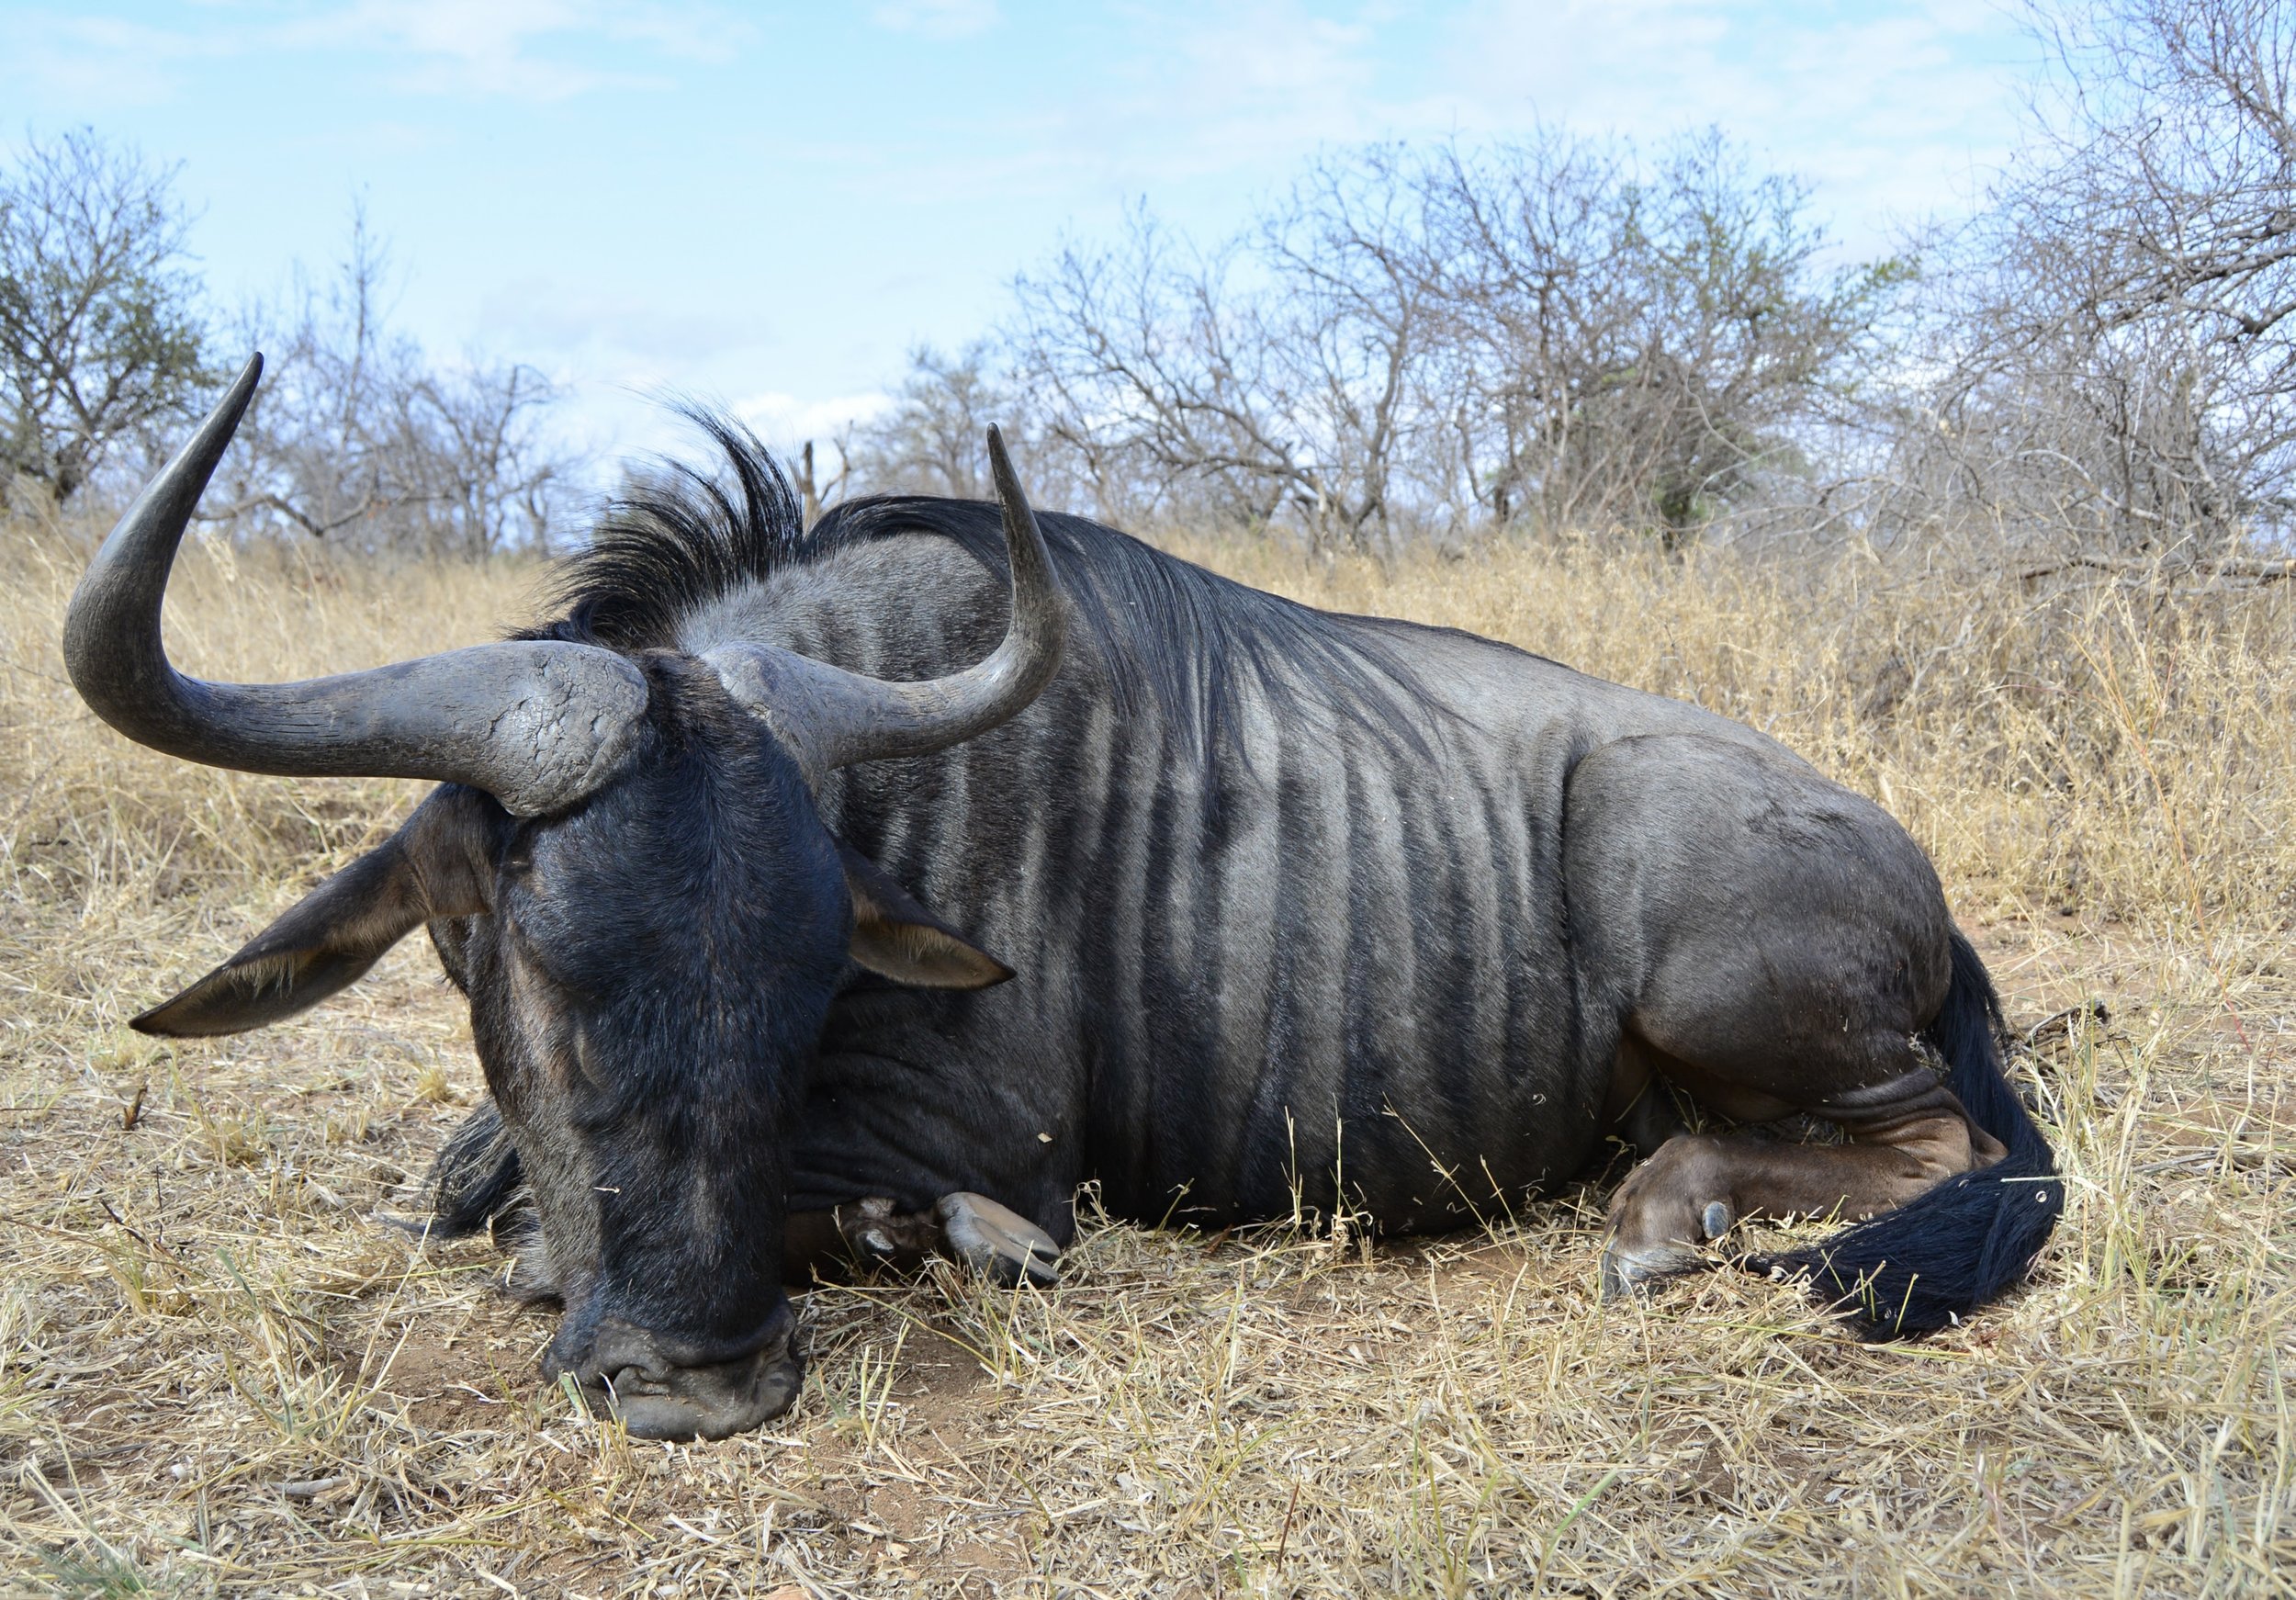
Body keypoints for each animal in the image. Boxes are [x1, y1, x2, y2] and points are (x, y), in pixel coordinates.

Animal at [65, 358, 2060, 1441]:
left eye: (805, 975)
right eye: (522, 960)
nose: (699, 1382)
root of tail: (1909, 874)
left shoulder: (1002, 1128)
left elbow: (560, 1234)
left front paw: (932, 1234)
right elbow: (462, 1186)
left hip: (1709, 954)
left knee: (1934, 1140)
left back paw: (1667, 1221)